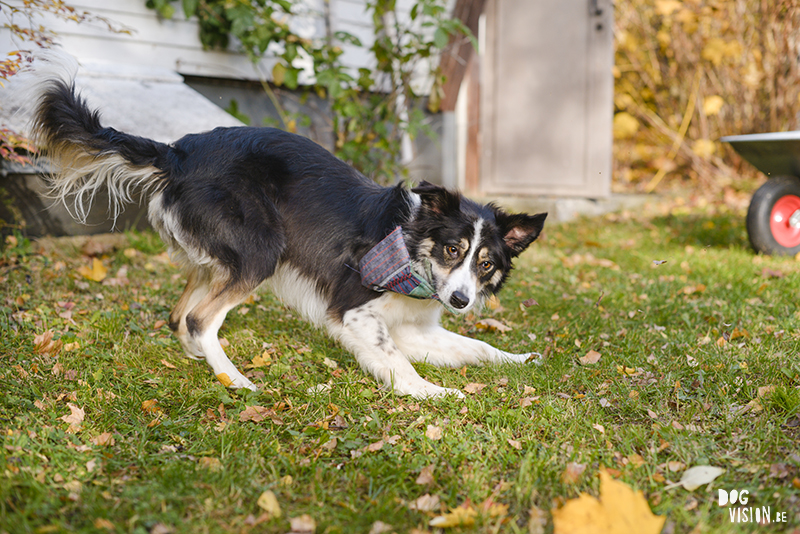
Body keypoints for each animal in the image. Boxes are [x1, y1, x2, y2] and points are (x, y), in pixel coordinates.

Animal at [20, 54, 544, 400]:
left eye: (485, 264)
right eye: (452, 249)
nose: (460, 301)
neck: (412, 245)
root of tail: (177, 152)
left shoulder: (416, 327)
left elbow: (475, 347)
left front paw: (520, 360)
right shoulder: (355, 311)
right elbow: (394, 358)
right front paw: (432, 392)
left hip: (218, 258)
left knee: (179, 316)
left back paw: (205, 363)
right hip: (260, 251)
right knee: (199, 319)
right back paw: (236, 379)